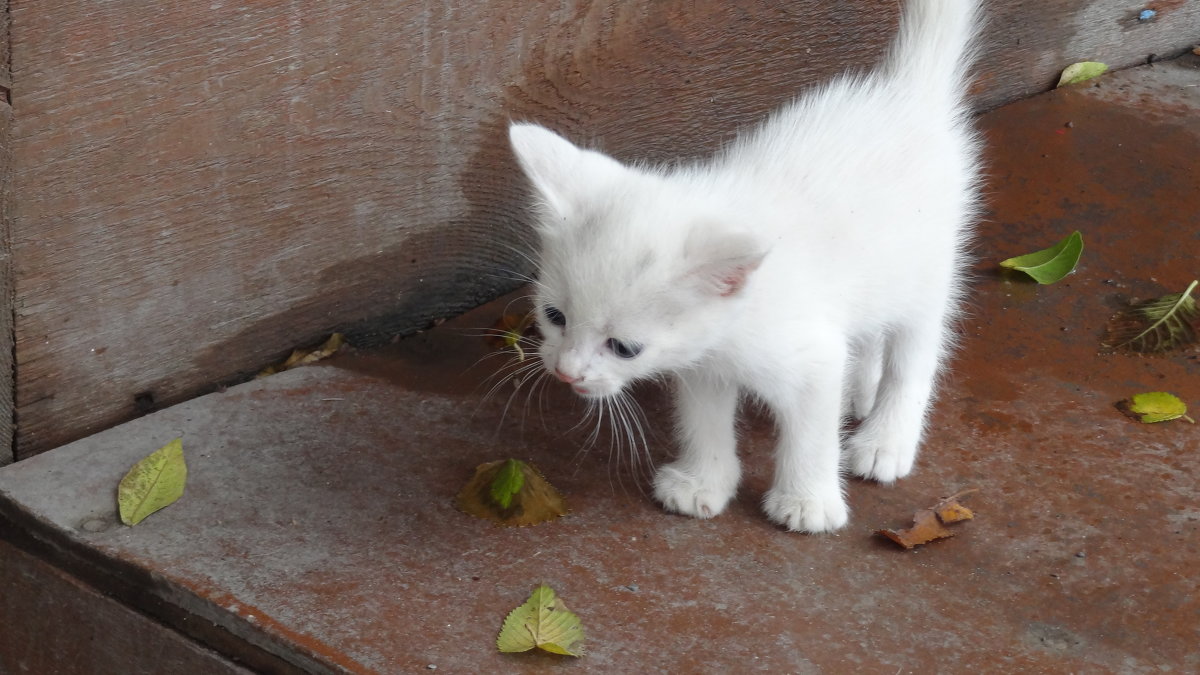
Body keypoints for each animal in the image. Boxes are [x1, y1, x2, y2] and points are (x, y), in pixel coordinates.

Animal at [511, 0, 979, 530]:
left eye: (625, 348)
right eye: (554, 316)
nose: (566, 372)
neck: (732, 325)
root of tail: (906, 93)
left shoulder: (812, 356)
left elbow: (813, 431)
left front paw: (807, 502)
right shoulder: (703, 362)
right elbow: (704, 420)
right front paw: (702, 483)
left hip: (928, 269)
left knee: (914, 353)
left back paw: (885, 439)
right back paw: (862, 387)